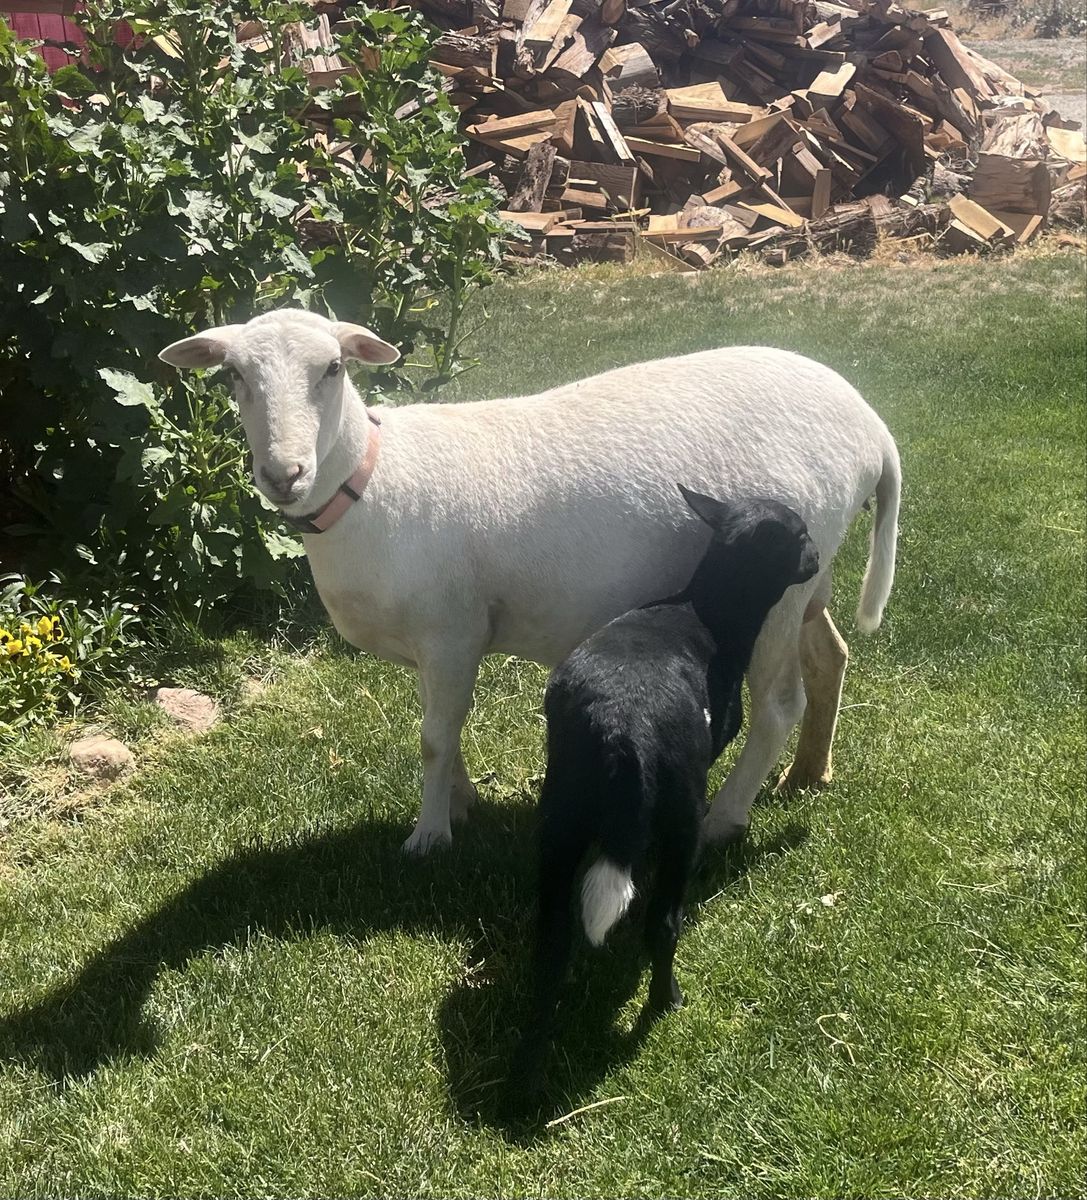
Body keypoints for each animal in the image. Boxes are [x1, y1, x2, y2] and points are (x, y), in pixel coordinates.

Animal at [158, 309, 900, 855]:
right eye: (232, 375)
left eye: (333, 369)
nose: (283, 474)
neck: (372, 482)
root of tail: (873, 428)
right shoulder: (435, 642)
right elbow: (440, 728)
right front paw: (461, 803)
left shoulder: (452, 626)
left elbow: (434, 736)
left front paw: (430, 836)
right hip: (808, 573)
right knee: (830, 656)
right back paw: (808, 774)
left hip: (775, 592)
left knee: (777, 706)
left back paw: (725, 817)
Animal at [511, 489, 819, 1087]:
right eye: (799, 535)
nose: (817, 557)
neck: (708, 611)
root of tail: (619, 727)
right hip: (682, 818)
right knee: (663, 923)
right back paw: (664, 1001)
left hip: (560, 815)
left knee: (552, 941)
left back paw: (532, 1055)